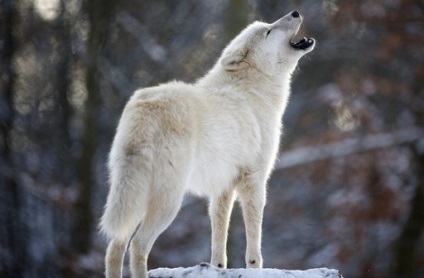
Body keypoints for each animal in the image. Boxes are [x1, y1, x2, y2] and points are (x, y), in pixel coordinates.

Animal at [101, 10, 314, 278]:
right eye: (268, 31)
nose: (295, 12)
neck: (253, 90)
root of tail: (145, 106)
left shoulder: (222, 188)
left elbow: (218, 238)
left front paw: (217, 268)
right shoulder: (254, 181)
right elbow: (254, 243)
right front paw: (255, 268)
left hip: (135, 197)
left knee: (115, 246)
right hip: (169, 202)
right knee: (138, 245)